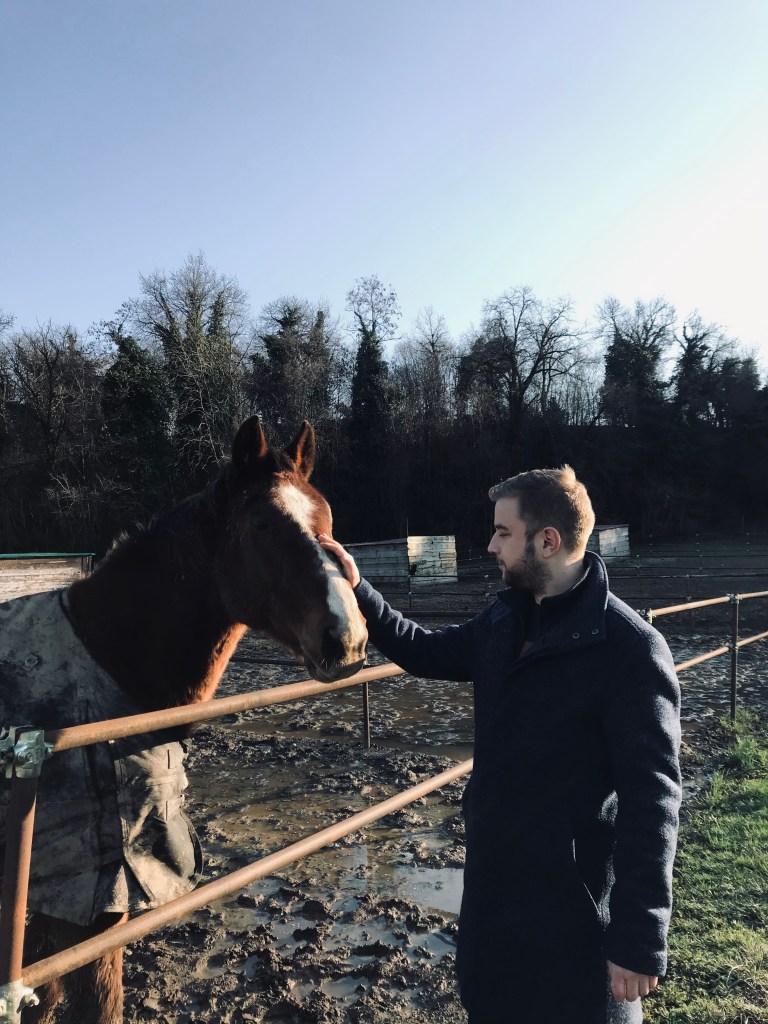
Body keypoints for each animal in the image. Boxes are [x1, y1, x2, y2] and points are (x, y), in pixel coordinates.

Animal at [0, 416, 368, 1023]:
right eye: (262, 525)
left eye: (329, 522)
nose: (350, 640)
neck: (108, 655)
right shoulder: (93, 890)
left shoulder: (59, 896)